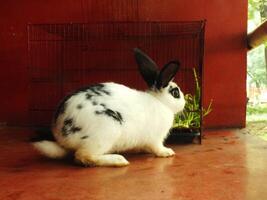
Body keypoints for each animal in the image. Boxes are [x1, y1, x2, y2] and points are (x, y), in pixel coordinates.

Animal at [32, 47, 185, 166]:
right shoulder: (155, 138)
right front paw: (167, 152)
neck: (160, 102)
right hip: (106, 130)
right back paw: (118, 160)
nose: (184, 103)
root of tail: (61, 134)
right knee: (84, 156)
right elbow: (157, 147)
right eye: (176, 93)